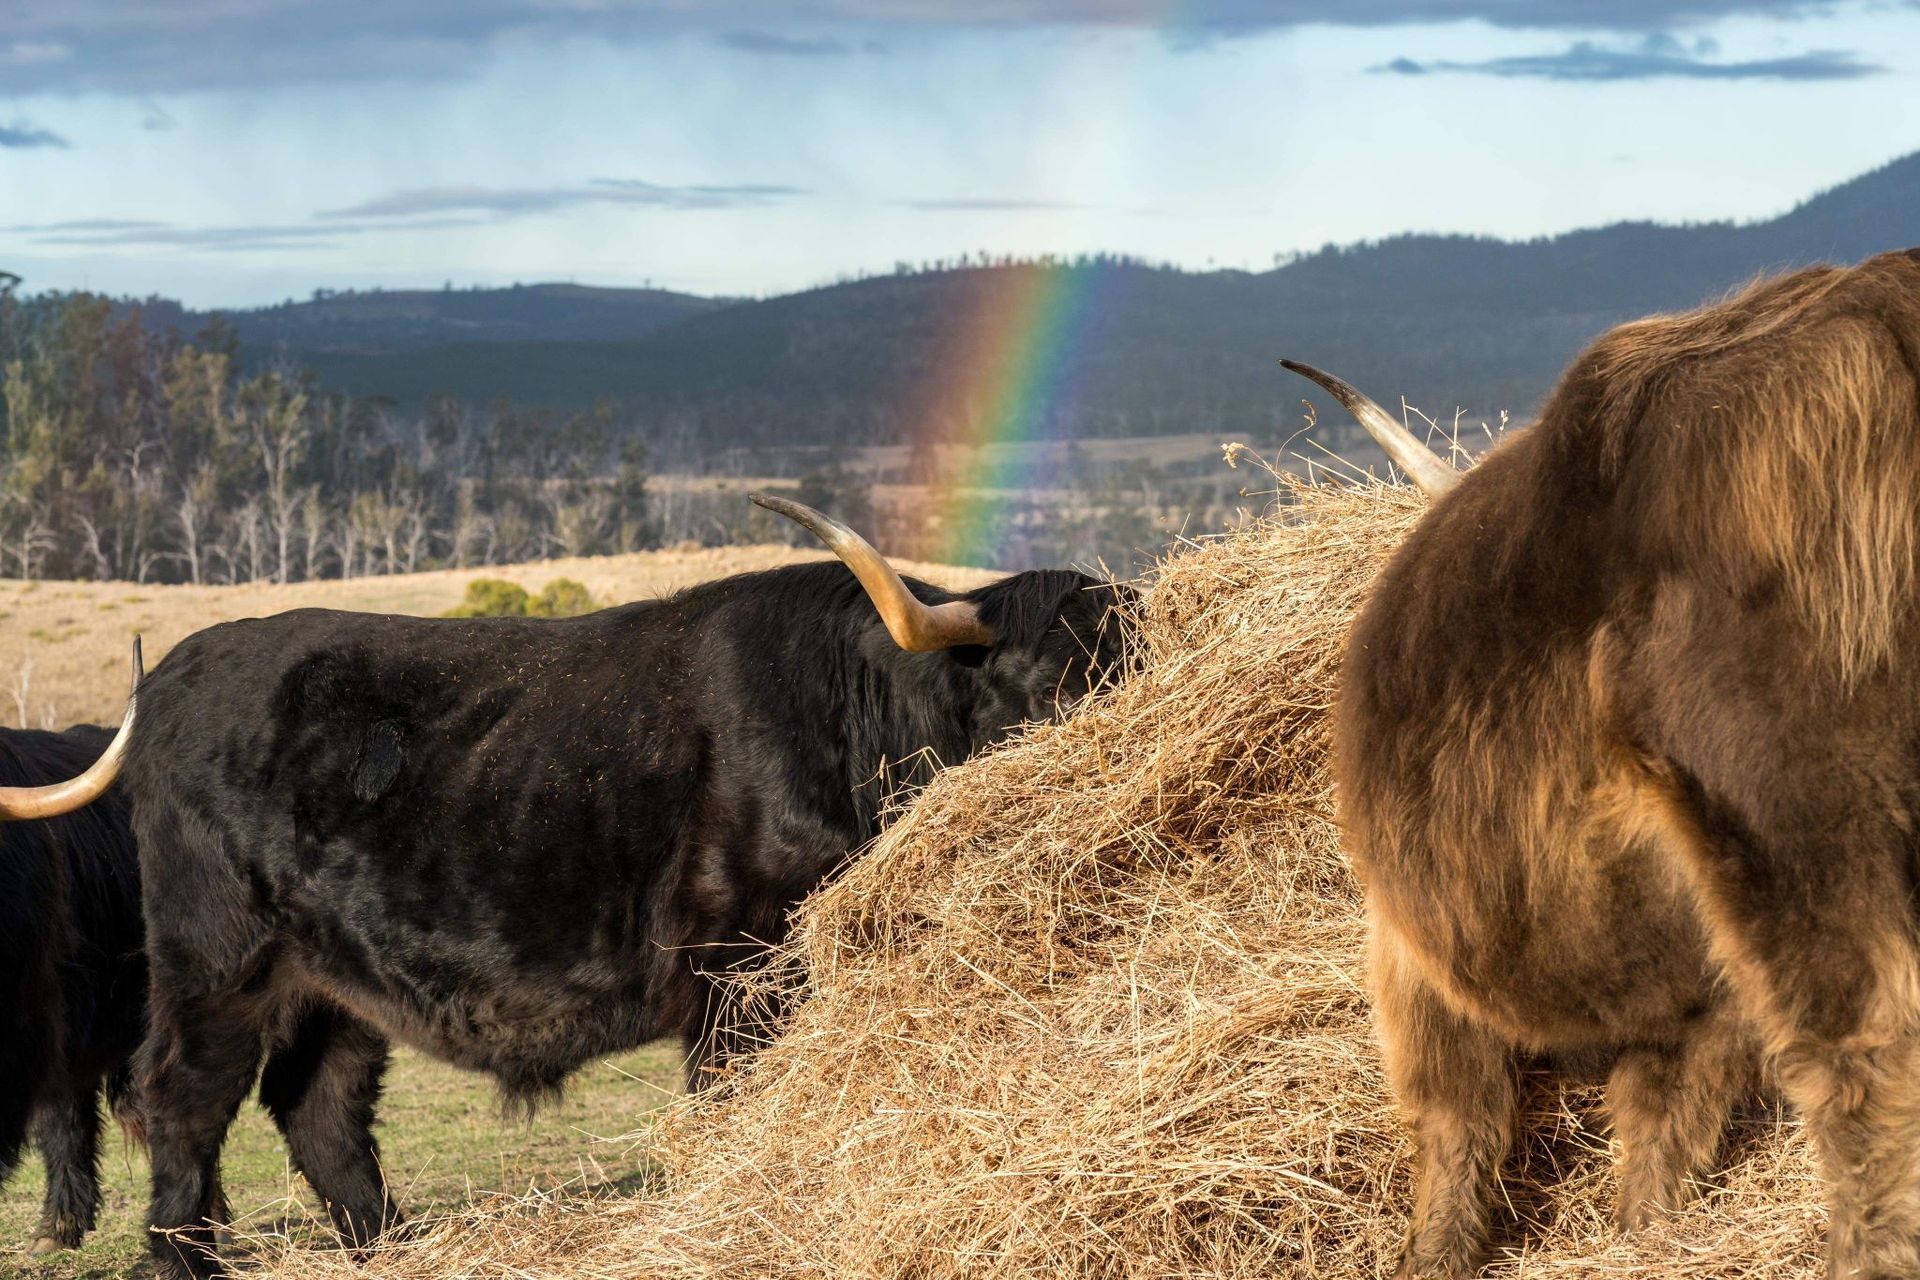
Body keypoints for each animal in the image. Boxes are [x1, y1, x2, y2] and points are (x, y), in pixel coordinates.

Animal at [1285, 248, 1920, 1278]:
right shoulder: (1694, 1009)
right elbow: (1666, 1131)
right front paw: (1645, 1234)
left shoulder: (1410, 959)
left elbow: (1452, 1122)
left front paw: (1435, 1254)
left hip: (1792, 811)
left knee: (1863, 1044)